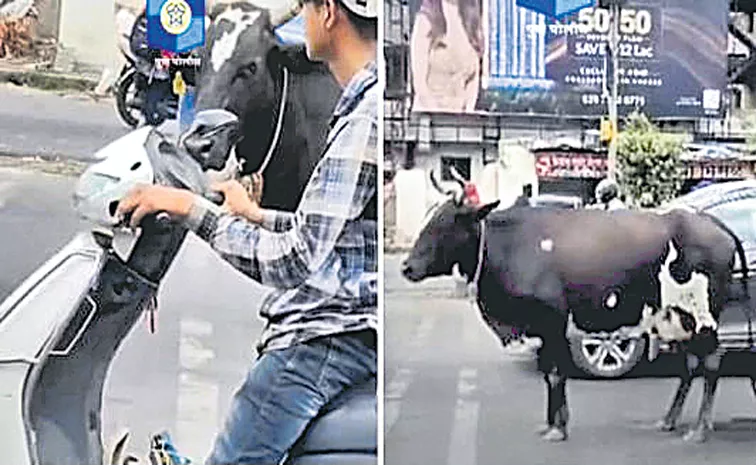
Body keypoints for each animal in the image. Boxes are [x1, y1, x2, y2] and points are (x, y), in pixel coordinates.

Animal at [402, 170, 752, 442]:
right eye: (430, 218)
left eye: (446, 223)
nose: (407, 267)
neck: (510, 244)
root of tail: (715, 225)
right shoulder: (543, 330)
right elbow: (549, 374)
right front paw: (552, 424)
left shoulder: (552, 322)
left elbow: (556, 374)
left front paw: (558, 428)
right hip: (678, 318)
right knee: (690, 365)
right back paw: (669, 421)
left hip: (704, 317)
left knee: (711, 363)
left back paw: (700, 428)